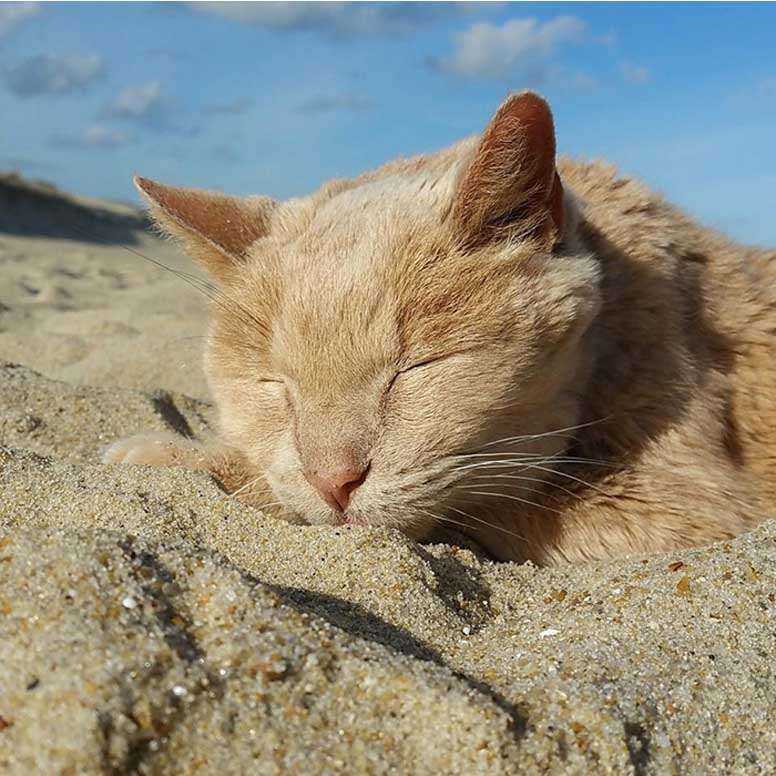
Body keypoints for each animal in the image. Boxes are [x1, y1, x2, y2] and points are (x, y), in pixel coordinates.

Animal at [103, 92, 776, 564]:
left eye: (417, 369)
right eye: (275, 385)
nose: (333, 481)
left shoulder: (689, 506)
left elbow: (490, 501)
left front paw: (171, 455)